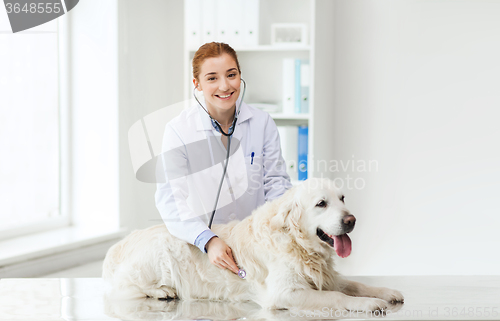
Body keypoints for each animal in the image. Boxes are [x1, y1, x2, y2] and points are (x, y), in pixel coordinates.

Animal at [101, 176, 402, 312]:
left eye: (342, 198)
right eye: (321, 204)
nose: (352, 220)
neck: (298, 244)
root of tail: (118, 245)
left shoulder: (327, 276)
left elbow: (355, 284)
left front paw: (384, 292)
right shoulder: (284, 293)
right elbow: (337, 297)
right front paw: (371, 303)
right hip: (159, 251)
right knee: (125, 288)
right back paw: (163, 291)